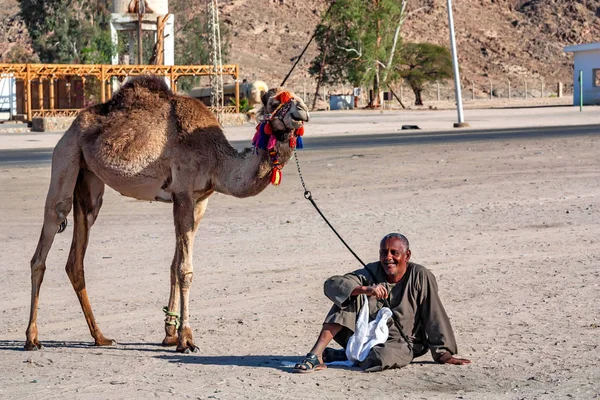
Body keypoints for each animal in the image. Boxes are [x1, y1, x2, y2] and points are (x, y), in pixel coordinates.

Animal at [24, 76, 310, 352]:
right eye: (274, 102)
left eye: (297, 97)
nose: (303, 111)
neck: (217, 161)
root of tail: (73, 126)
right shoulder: (183, 194)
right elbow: (185, 269)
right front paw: (186, 339)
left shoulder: (199, 200)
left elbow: (175, 265)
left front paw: (170, 334)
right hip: (66, 157)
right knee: (47, 238)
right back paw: (32, 338)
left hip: (89, 181)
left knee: (76, 257)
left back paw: (100, 337)